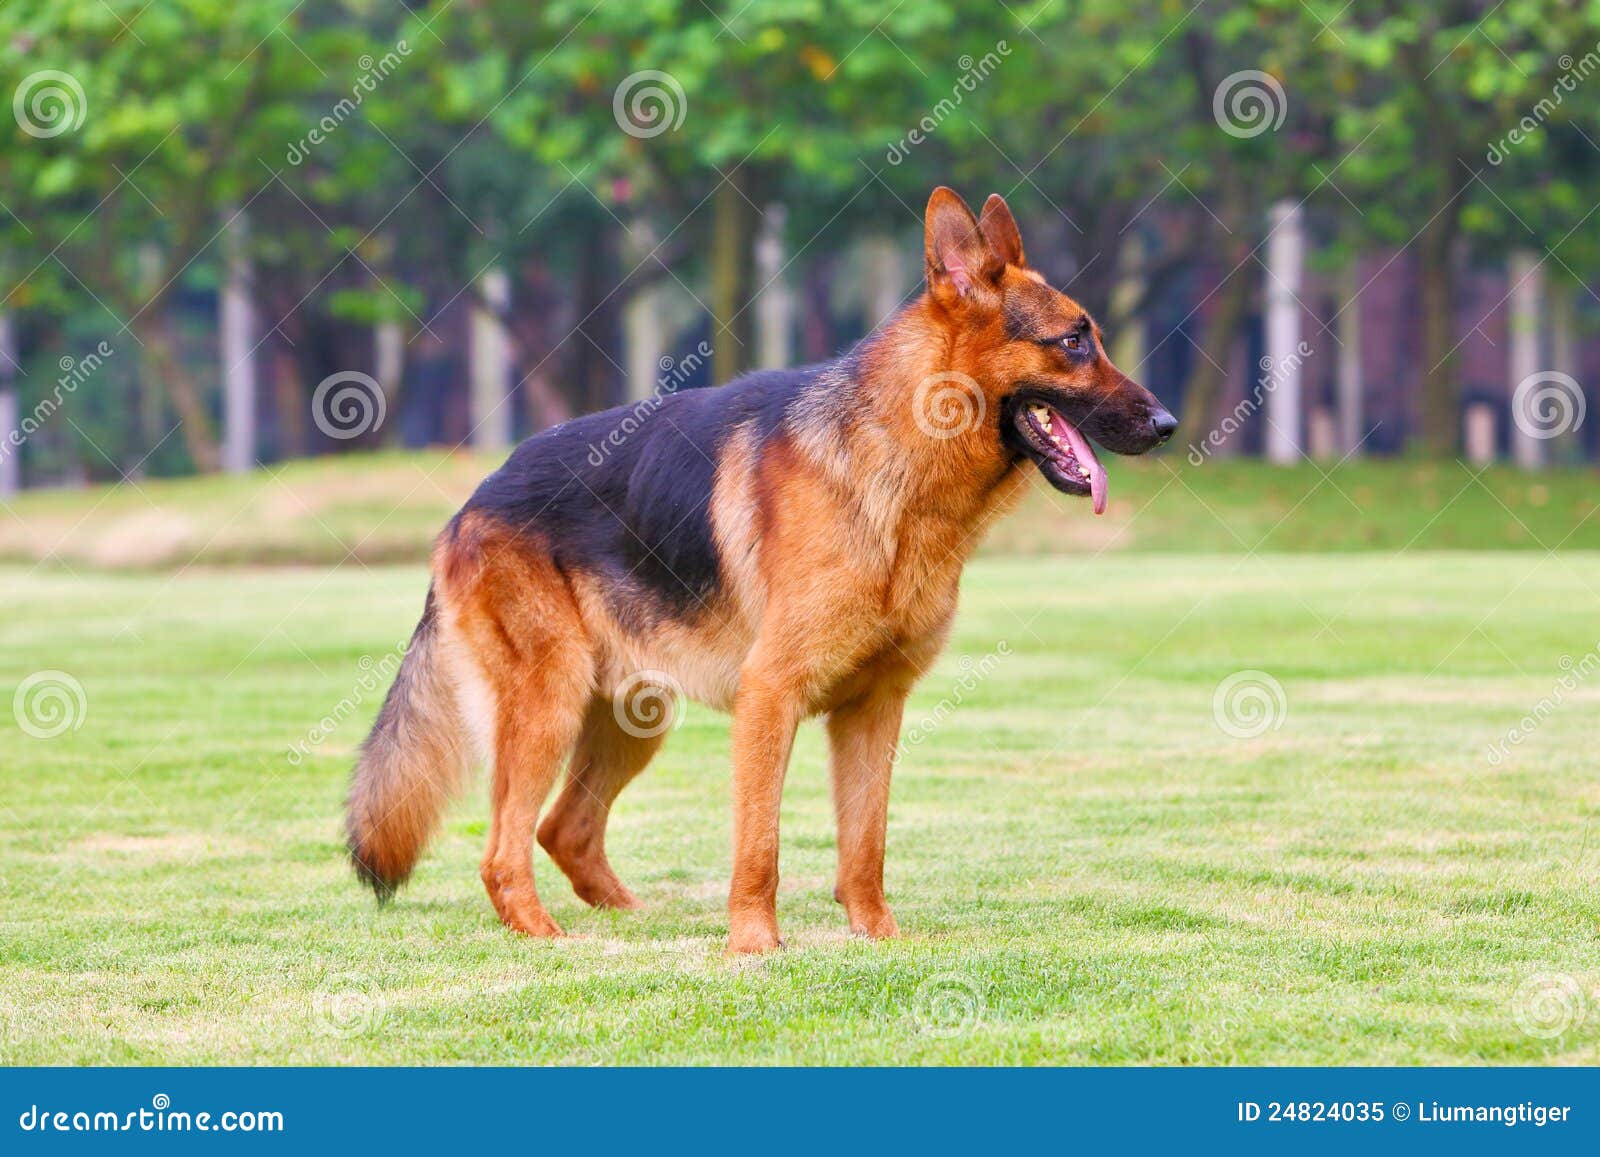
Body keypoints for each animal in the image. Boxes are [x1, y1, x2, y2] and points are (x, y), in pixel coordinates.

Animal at [347, 188, 1177, 947]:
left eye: (1095, 339)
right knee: (502, 850)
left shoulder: (874, 709)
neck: (898, 465)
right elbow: (761, 845)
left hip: (632, 718)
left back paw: (631, 920)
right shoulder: (769, 698)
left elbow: (865, 845)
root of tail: (471, 503)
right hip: (548, 707)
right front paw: (753, 945)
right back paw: (547, 937)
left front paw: (878, 937)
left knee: (565, 828)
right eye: (1074, 343)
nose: (1167, 425)